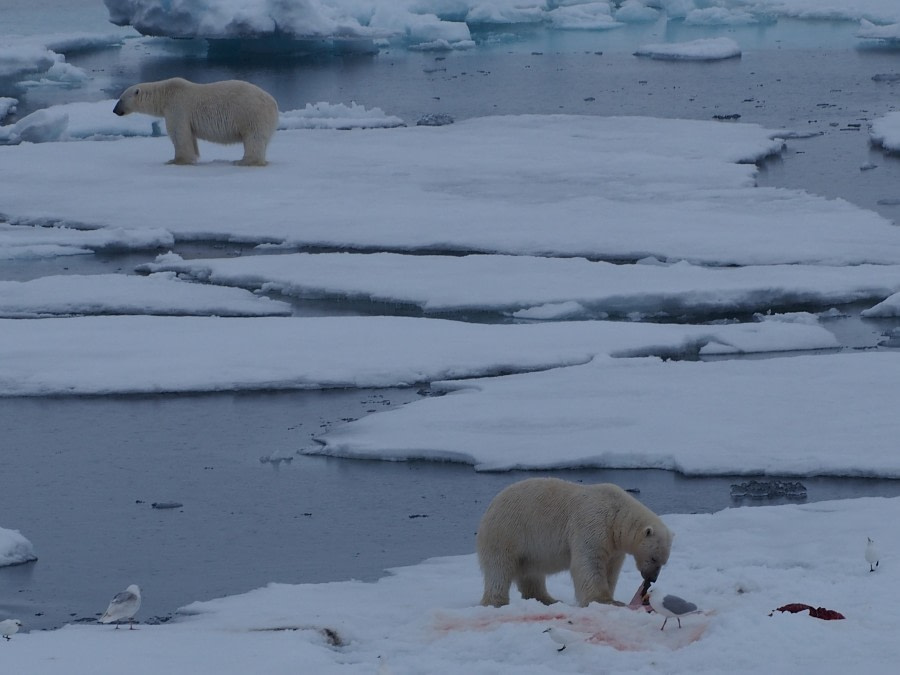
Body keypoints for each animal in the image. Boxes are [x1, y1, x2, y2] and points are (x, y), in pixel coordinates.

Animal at [114, 77, 280, 165]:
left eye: (121, 99)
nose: (115, 110)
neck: (166, 94)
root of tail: (273, 103)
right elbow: (190, 137)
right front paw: (193, 157)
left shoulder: (177, 108)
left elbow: (179, 134)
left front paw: (176, 160)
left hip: (251, 114)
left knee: (254, 138)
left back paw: (244, 161)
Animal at [474, 478, 672, 608]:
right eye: (654, 558)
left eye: (663, 562)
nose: (652, 579)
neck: (616, 515)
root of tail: (489, 507)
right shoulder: (592, 524)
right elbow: (589, 563)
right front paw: (605, 600)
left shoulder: (614, 544)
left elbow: (611, 568)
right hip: (506, 533)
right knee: (499, 568)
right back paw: (497, 602)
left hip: (527, 549)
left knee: (531, 574)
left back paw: (548, 599)